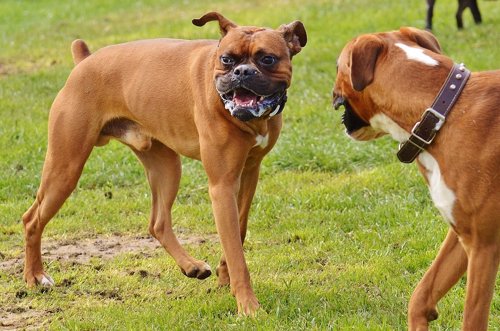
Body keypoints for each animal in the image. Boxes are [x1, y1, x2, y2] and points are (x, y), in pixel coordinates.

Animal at [23, 11, 306, 316]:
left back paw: (191, 266)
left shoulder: (248, 173)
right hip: (65, 167)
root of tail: (85, 60)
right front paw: (248, 306)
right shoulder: (222, 186)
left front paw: (224, 275)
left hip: (167, 167)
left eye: (268, 59)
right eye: (227, 59)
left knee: (158, 223)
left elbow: (238, 232)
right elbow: (236, 251)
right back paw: (35, 277)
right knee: (31, 219)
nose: (241, 72)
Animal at [334, 26, 498, 331]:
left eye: (337, 65)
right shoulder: (462, 235)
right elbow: (421, 294)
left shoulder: (484, 247)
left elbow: (472, 318)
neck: (443, 113)